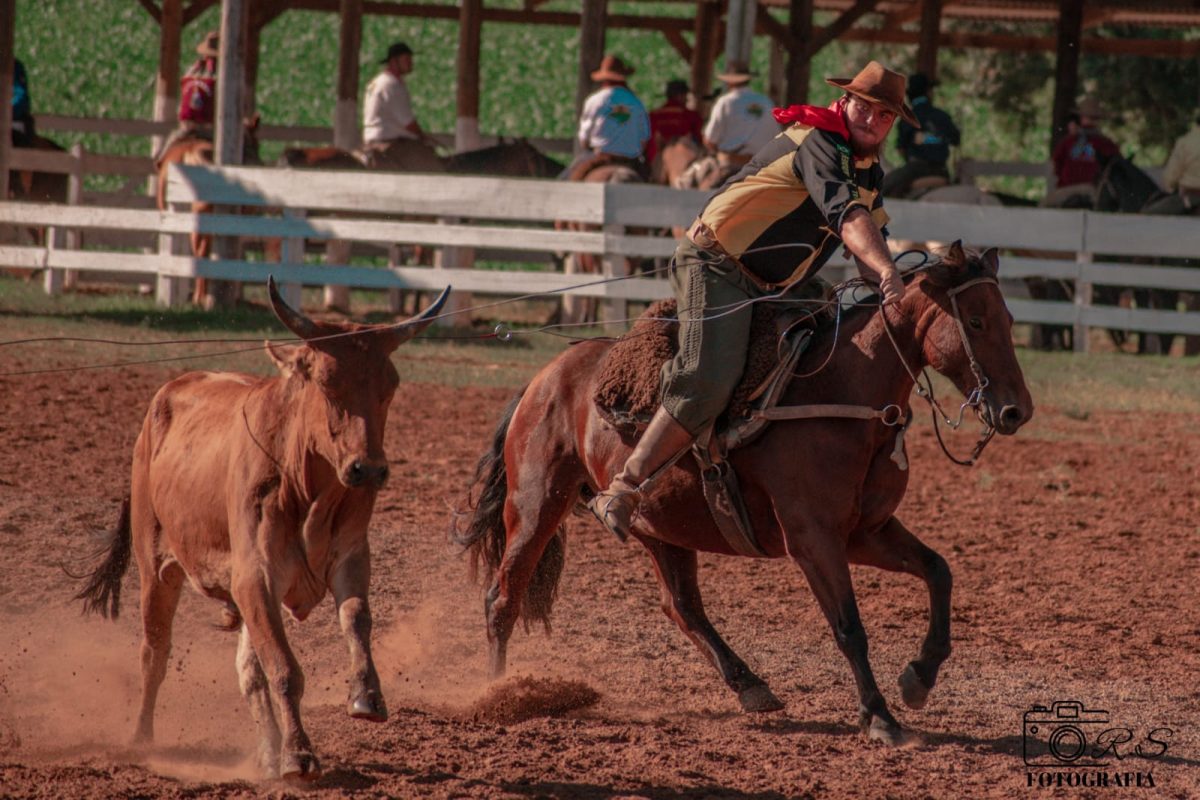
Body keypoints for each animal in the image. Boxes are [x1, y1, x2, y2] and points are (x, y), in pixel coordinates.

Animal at [76, 278, 451, 777]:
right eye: (327, 381)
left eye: (390, 385)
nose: (368, 469)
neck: (305, 486)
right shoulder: (256, 577)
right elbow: (284, 670)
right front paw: (298, 754)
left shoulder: (350, 558)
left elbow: (355, 619)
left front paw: (365, 696)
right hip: (155, 566)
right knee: (154, 653)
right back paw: (142, 738)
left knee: (247, 673)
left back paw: (266, 753)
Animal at [453, 245, 1036, 753]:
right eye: (975, 322)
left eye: (1008, 319)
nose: (1016, 410)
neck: (838, 393)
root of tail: (544, 378)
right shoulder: (813, 540)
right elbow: (849, 628)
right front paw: (879, 717)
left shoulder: (865, 533)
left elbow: (939, 571)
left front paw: (920, 676)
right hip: (536, 505)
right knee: (503, 597)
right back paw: (497, 694)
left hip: (662, 527)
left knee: (681, 607)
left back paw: (749, 683)